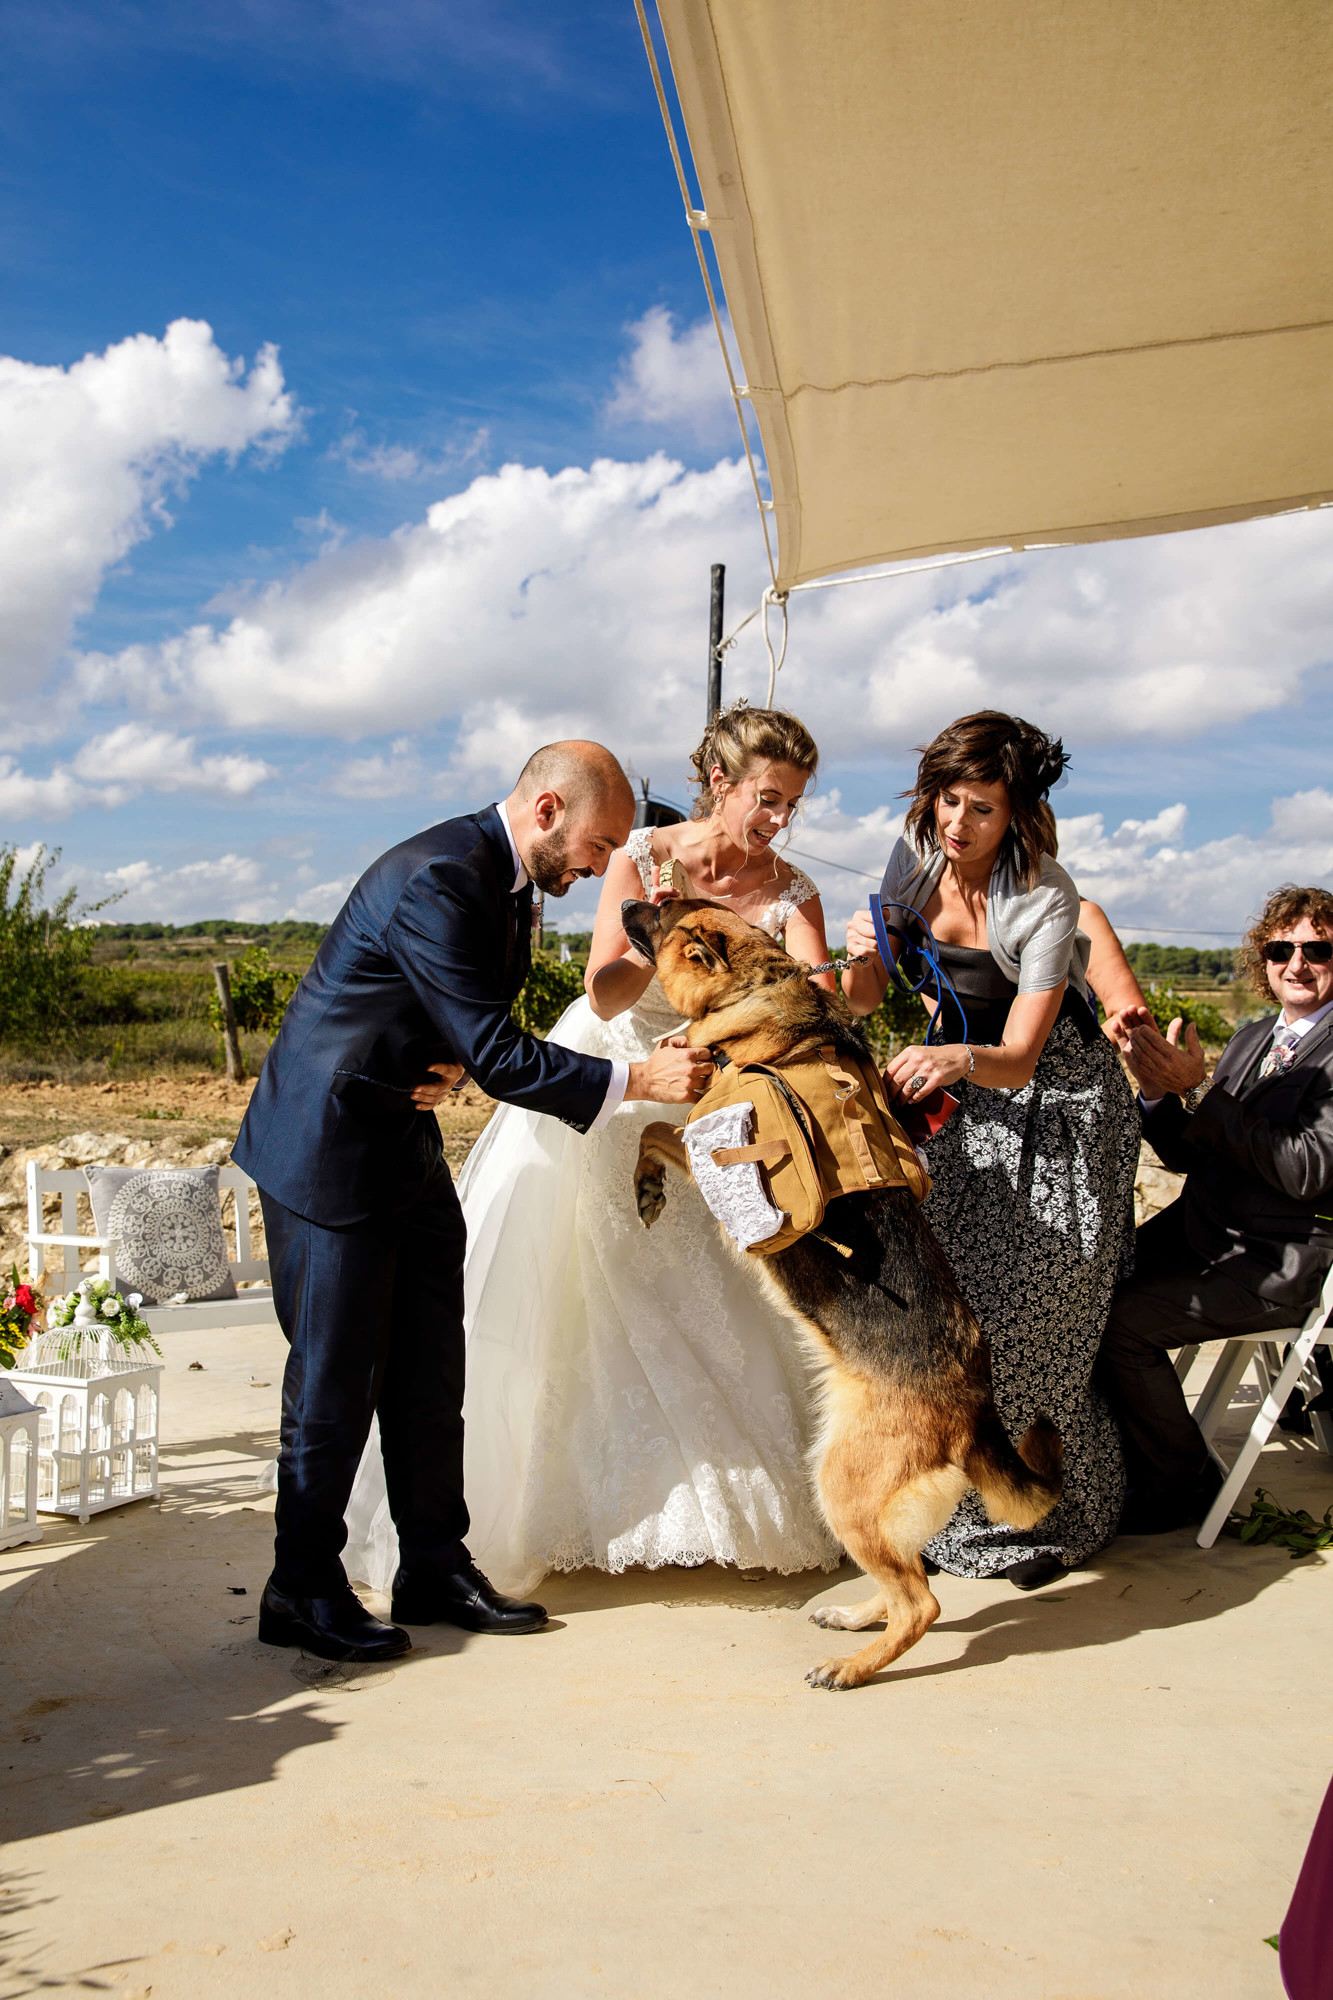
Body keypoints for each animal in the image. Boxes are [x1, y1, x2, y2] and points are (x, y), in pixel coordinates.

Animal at [620, 900, 1056, 1696]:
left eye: (664, 914)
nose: (633, 894)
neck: (758, 995)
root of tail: (975, 1409)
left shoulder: (708, 1150)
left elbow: (656, 1127)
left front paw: (645, 1185)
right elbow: (652, 1127)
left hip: (841, 1485)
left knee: (922, 1603)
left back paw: (850, 1669)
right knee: (907, 1584)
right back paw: (856, 1622)